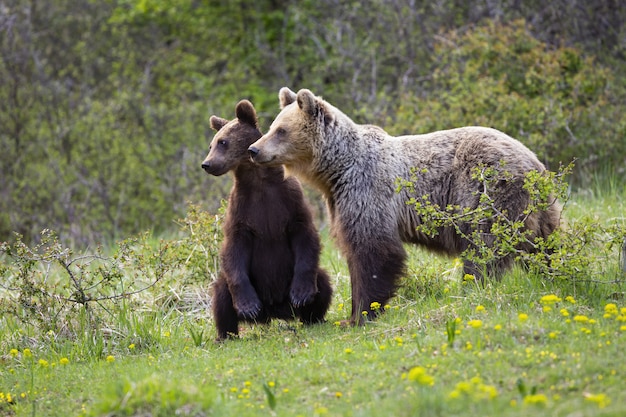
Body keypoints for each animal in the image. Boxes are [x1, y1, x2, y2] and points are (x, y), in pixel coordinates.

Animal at [202, 99, 334, 340]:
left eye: (222, 142)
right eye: (211, 145)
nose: (207, 164)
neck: (259, 182)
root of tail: (274, 311)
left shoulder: (289, 202)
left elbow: (305, 235)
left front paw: (301, 294)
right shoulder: (241, 211)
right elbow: (233, 249)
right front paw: (248, 306)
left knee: (323, 282)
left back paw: (314, 318)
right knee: (221, 293)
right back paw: (225, 334)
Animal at [247, 87, 560, 322]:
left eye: (281, 130)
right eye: (272, 126)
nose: (253, 149)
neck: (336, 169)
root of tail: (533, 161)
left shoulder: (368, 190)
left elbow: (373, 250)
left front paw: (362, 314)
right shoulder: (339, 199)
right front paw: (352, 313)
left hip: (487, 191)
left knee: (485, 246)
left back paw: (472, 288)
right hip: (540, 207)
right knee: (547, 244)